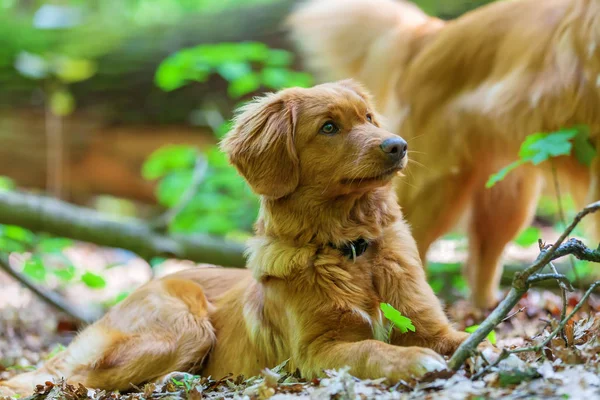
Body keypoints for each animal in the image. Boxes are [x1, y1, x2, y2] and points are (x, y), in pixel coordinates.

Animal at [0, 81, 474, 396]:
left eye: (369, 118)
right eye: (328, 127)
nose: (398, 145)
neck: (350, 248)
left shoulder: (428, 322)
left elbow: (468, 336)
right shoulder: (316, 351)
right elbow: (372, 350)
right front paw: (412, 361)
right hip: (182, 327)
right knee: (76, 379)